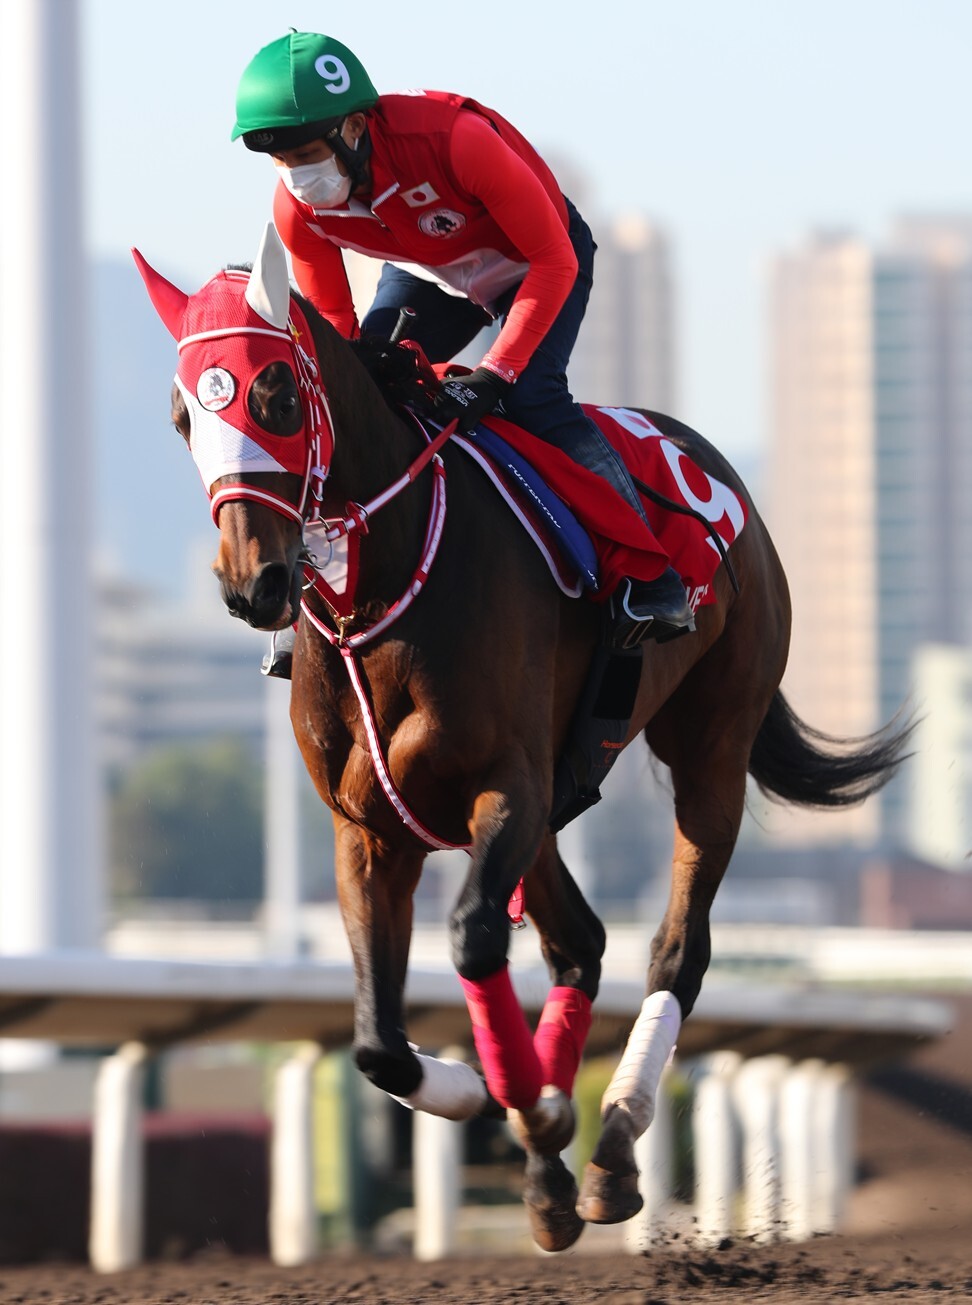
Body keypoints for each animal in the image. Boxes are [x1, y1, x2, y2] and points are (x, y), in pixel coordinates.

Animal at [132, 227, 908, 1252]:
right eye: (184, 414)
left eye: (275, 395)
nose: (251, 583)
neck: (384, 585)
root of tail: (715, 467)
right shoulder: (370, 830)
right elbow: (378, 1042)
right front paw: (501, 1106)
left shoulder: (507, 786)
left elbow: (470, 939)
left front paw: (533, 1107)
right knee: (579, 942)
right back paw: (557, 1167)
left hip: (708, 747)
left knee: (676, 947)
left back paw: (612, 1140)